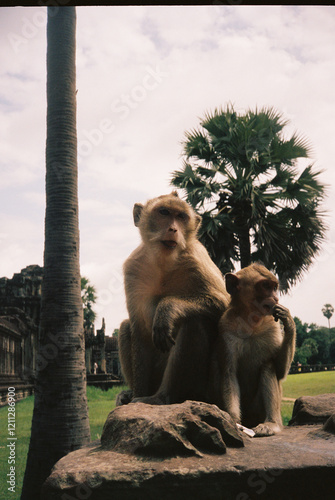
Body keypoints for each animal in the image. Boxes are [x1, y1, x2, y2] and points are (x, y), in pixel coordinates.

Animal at [117, 192, 230, 406]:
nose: (173, 229)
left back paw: (162, 397)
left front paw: (167, 309)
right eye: (164, 212)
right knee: (126, 326)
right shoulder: (133, 269)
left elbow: (224, 304)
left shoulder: (197, 259)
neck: (164, 261)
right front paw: (136, 395)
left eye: (181, 217)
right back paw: (132, 394)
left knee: (194, 321)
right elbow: (138, 330)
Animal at [213, 264, 296, 436]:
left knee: (267, 366)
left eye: (274, 287)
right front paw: (233, 421)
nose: (276, 299)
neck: (251, 323)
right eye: (265, 286)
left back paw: (271, 424)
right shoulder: (226, 328)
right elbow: (229, 373)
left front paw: (288, 320)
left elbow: (280, 371)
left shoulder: (272, 328)